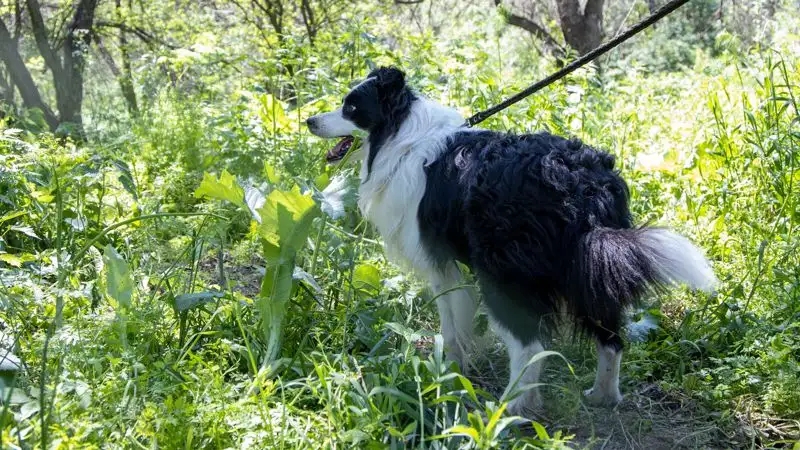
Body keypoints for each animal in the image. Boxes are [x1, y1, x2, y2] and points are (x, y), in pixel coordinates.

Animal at [306, 67, 720, 414]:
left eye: (351, 107)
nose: (309, 120)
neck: (400, 132)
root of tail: (579, 183)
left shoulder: (439, 262)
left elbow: (451, 325)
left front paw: (449, 371)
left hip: (505, 274)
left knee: (530, 345)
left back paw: (510, 407)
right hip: (590, 267)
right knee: (611, 337)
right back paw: (602, 396)